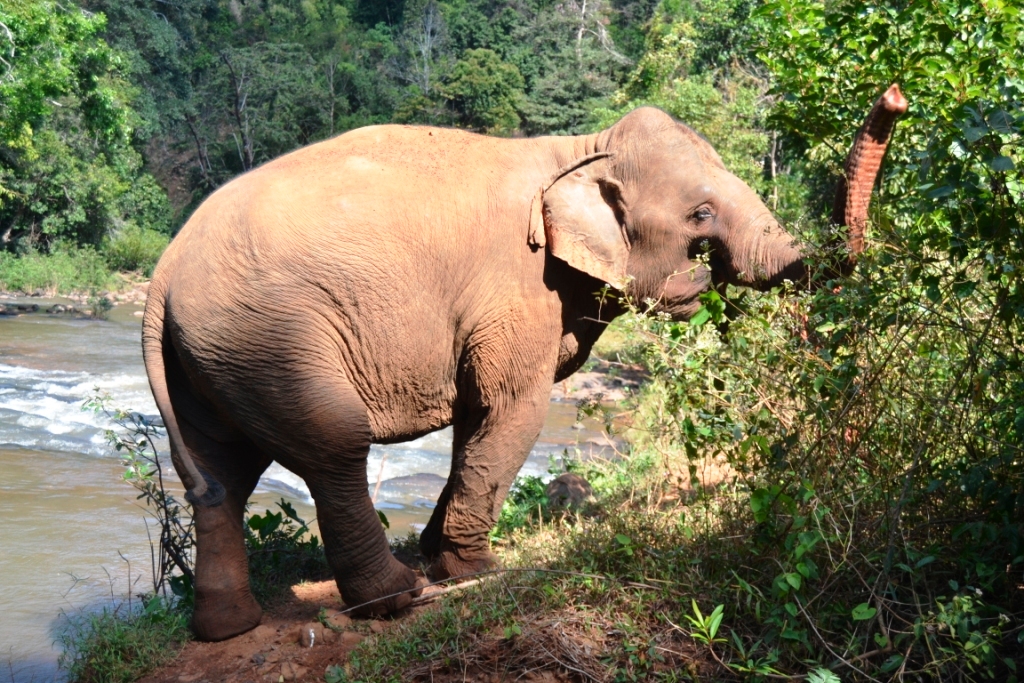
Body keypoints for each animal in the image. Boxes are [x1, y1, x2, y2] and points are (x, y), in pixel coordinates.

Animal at [142, 85, 906, 641]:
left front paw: (445, 555)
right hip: (273, 337)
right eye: (700, 214)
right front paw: (476, 568)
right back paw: (395, 599)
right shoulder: (518, 287)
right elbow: (511, 406)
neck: (581, 151)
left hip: (214, 356)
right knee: (332, 444)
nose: (894, 100)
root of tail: (163, 275)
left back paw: (226, 629)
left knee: (217, 474)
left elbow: (477, 415)